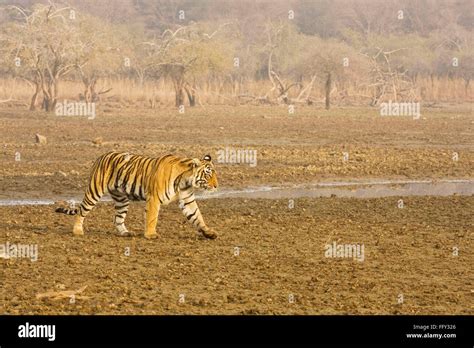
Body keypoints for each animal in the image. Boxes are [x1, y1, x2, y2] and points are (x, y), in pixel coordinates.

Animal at [54, 152, 218, 239]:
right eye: (208, 174)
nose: (216, 186)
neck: (185, 181)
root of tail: (101, 156)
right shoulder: (154, 199)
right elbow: (152, 218)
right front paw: (151, 234)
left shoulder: (187, 200)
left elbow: (198, 216)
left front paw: (209, 232)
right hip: (94, 191)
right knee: (82, 211)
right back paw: (77, 231)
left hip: (122, 199)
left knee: (117, 218)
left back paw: (125, 233)